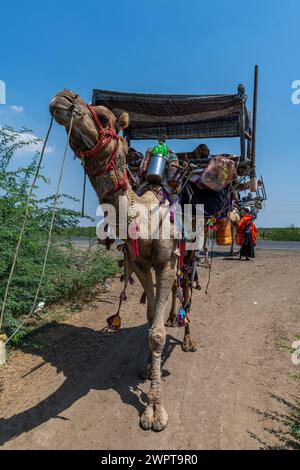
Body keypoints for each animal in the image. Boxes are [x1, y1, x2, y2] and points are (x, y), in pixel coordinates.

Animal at [49, 90, 197, 432]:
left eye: (104, 117)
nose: (63, 97)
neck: (144, 215)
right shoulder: (141, 264)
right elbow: (150, 318)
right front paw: (145, 370)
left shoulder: (166, 261)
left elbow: (156, 335)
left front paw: (155, 410)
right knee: (173, 294)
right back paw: (173, 317)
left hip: (190, 253)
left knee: (188, 292)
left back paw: (188, 339)